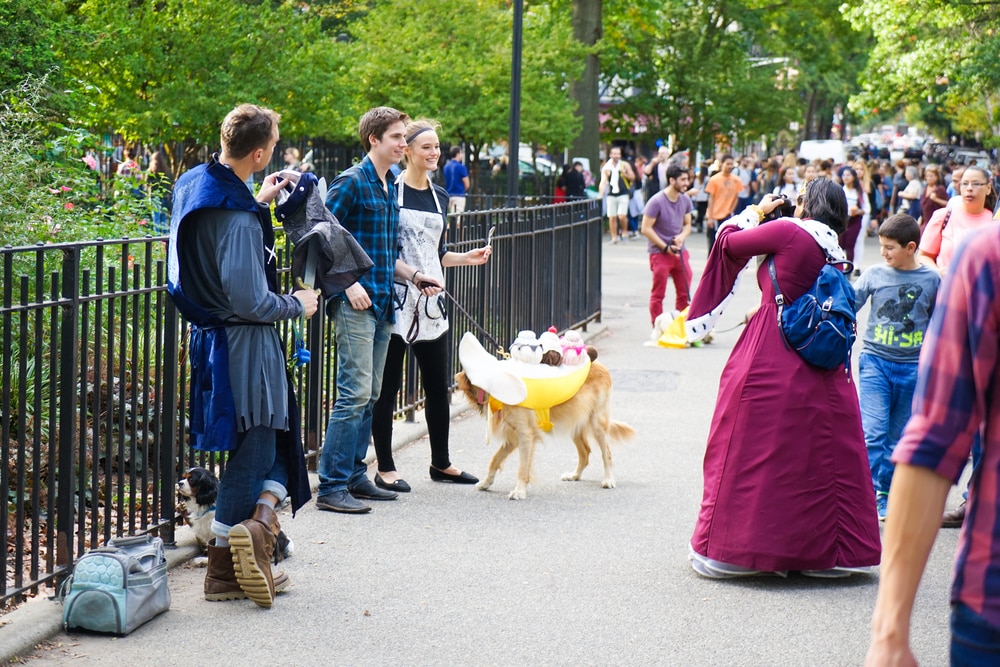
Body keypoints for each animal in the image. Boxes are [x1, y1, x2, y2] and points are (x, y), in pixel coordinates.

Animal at [454, 362, 632, 498]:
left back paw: (609, 480)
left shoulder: (525, 435)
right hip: (575, 425)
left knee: (606, 453)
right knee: (585, 452)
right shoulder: (513, 438)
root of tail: (600, 365)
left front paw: (519, 491)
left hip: (597, 423)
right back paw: (574, 475)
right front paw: (486, 482)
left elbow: (522, 468)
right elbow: (495, 459)